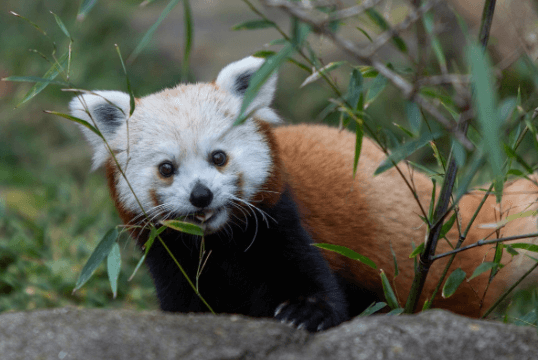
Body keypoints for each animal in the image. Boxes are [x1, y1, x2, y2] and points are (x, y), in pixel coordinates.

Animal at [70, 55, 536, 332]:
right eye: (167, 169)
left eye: (219, 157)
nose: (201, 195)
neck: (217, 243)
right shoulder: (170, 258)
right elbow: (187, 302)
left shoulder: (282, 220)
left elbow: (314, 282)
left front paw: (303, 313)